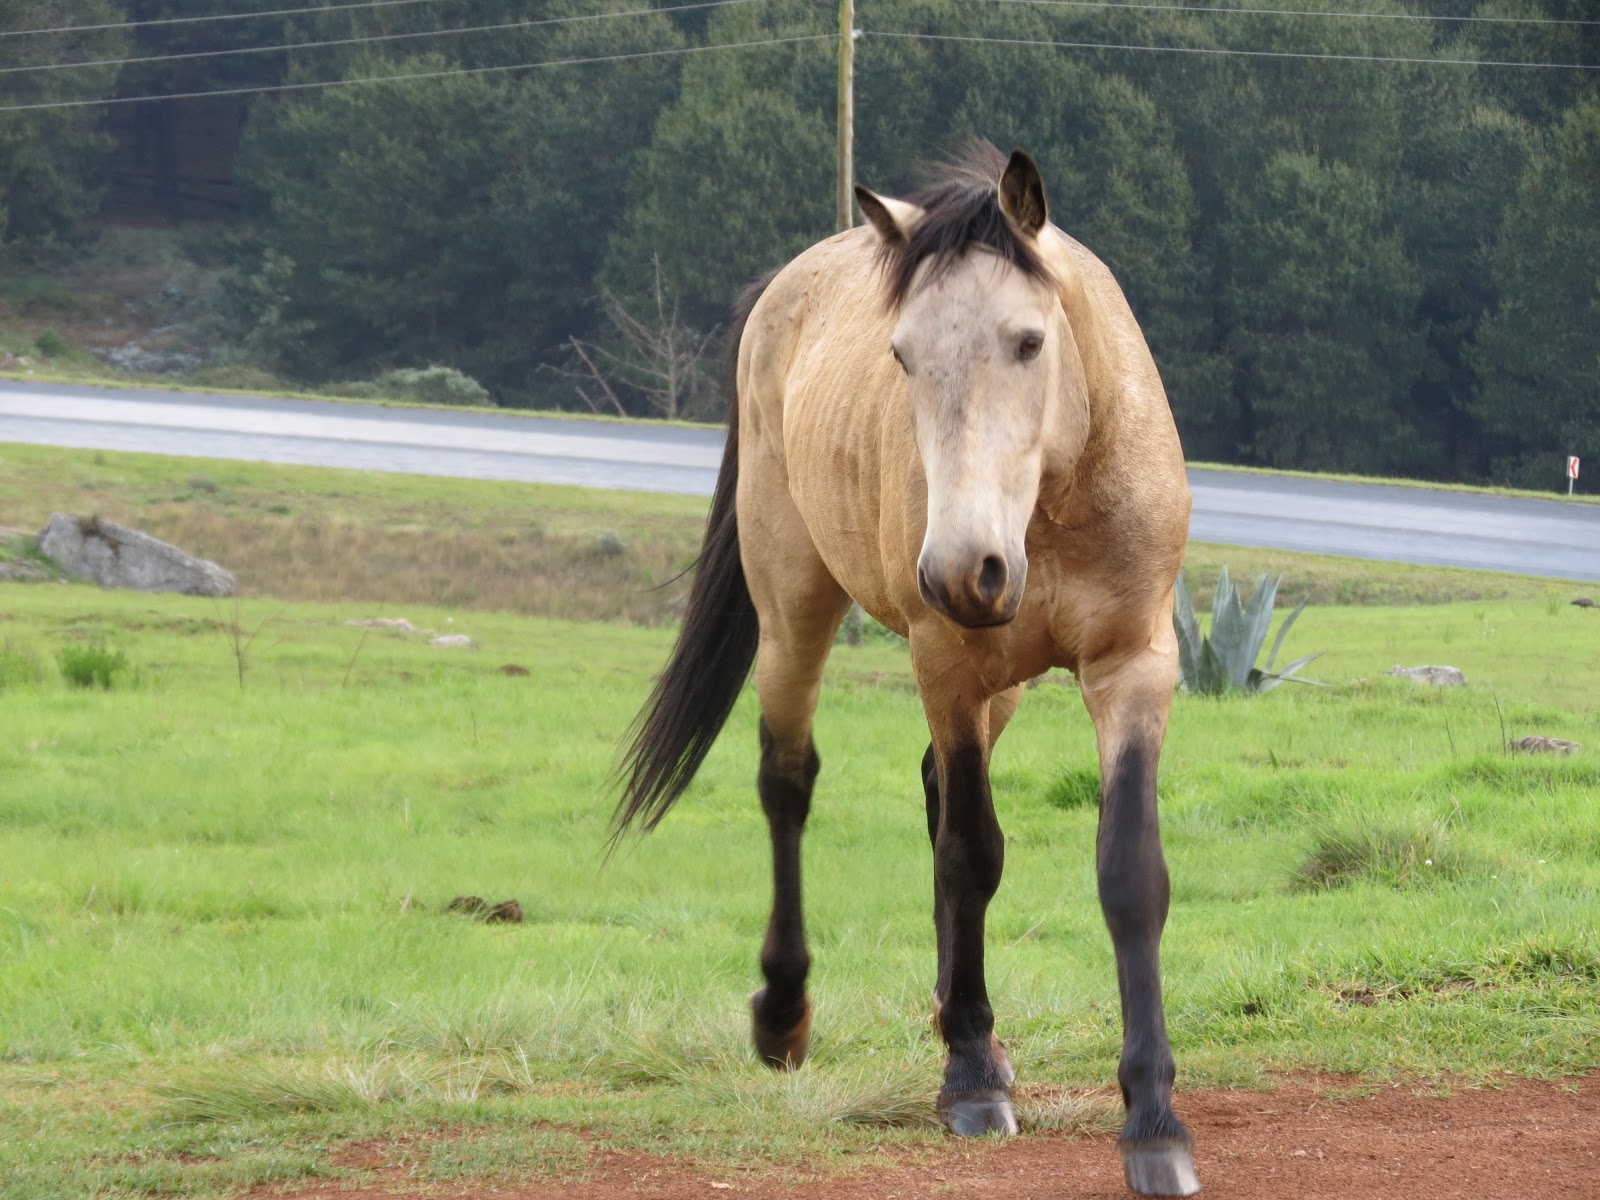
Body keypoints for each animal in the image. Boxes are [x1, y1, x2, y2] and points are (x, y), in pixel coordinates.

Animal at [612, 142, 1198, 1198]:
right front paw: (969, 1080)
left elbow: (1129, 872)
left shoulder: (1133, 664)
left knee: (931, 787)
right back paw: (788, 1013)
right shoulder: (947, 660)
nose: (965, 568)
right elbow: (971, 854)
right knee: (788, 779)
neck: (1056, 495)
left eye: (1027, 341)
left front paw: (1153, 1122)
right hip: (796, 606)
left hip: (1000, 675)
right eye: (902, 356)